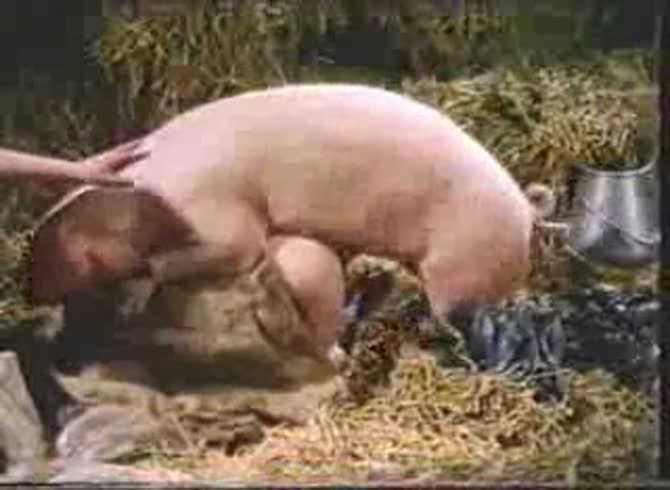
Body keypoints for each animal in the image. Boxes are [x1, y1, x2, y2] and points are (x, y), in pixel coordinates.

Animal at [28, 83, 555, 368]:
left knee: (470, 317)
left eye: (66, 238)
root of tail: (528, 210)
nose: (28, 289)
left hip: (462, 269)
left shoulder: (223, 225)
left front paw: (130, 302)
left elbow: (211, 254)